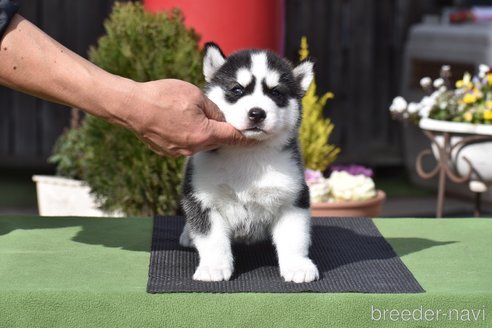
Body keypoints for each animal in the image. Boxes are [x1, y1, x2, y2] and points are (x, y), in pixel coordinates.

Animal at [181, 43, 320, 284]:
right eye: (237, 89)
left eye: (276, 92)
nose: (257, 113)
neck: (247, 152)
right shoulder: (202, 198)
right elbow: (212, 239)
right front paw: (214, 266)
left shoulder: (293, 197)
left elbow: (295, 237)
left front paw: (297, 265)